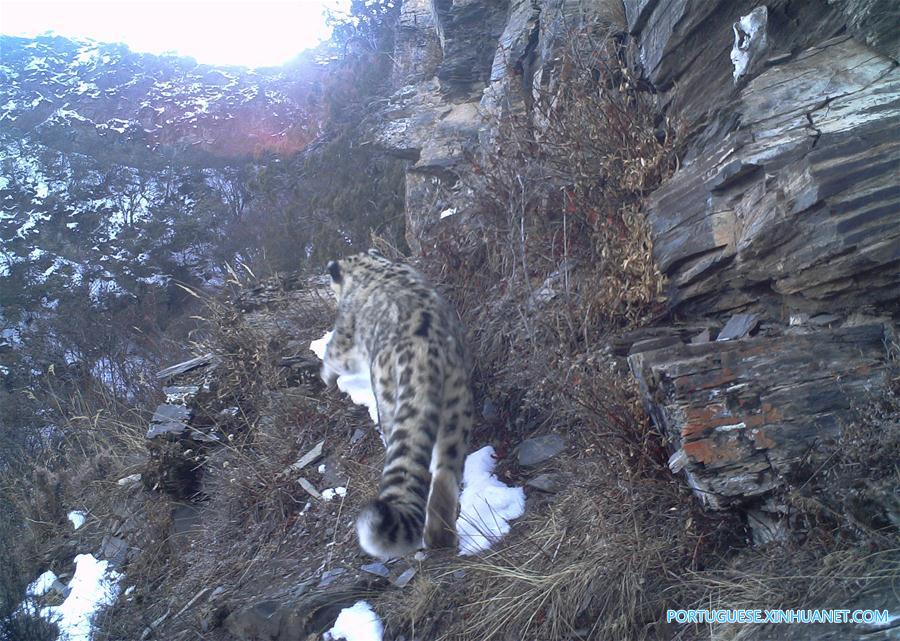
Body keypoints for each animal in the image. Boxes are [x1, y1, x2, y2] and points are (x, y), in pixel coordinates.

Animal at [324, 248, 478, 556]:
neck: (370, 266)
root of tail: (423, 357)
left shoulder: (344, 336)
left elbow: (331, 354)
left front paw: (325, 375)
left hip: (388, 401)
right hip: (456, 406)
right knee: (445, 472)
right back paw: (440, 539)